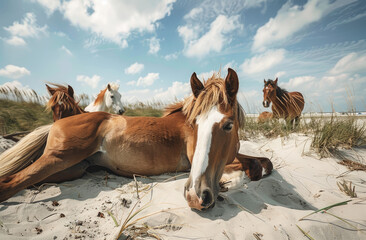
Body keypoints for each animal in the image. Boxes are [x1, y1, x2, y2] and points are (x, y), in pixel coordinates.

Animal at [0, 69, 272, 210]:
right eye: (194, 124)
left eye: (228, 124)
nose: (197, 196)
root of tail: (57, 122)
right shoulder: (194, 161)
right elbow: (254, 165)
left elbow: (264, 162)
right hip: (60, 157)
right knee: (10, 182)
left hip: (72, 169)